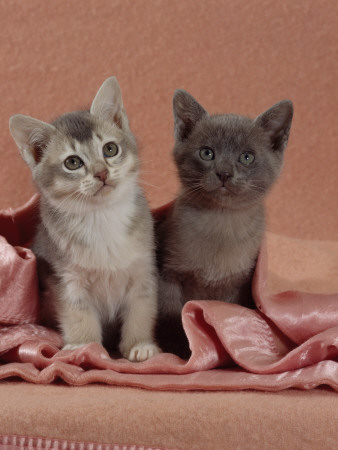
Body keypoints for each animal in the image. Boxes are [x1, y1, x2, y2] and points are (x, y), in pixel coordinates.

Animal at [8, 75, 160, 360]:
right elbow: (78, 315)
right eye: (73, 162)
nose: (102, 173)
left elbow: (141, 310)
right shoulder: (66, 280)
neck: (101, 218)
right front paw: (83, 346)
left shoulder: (143, 271)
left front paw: (140, 344)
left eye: (110, 149)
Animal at [156, 89, 294, 356]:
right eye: (207, 153)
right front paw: (179, 351)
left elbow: (228, 317)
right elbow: (172, 316)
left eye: (247, 157)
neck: (221, 221)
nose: (224, 173)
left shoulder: (239, 286)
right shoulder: (169, 275)